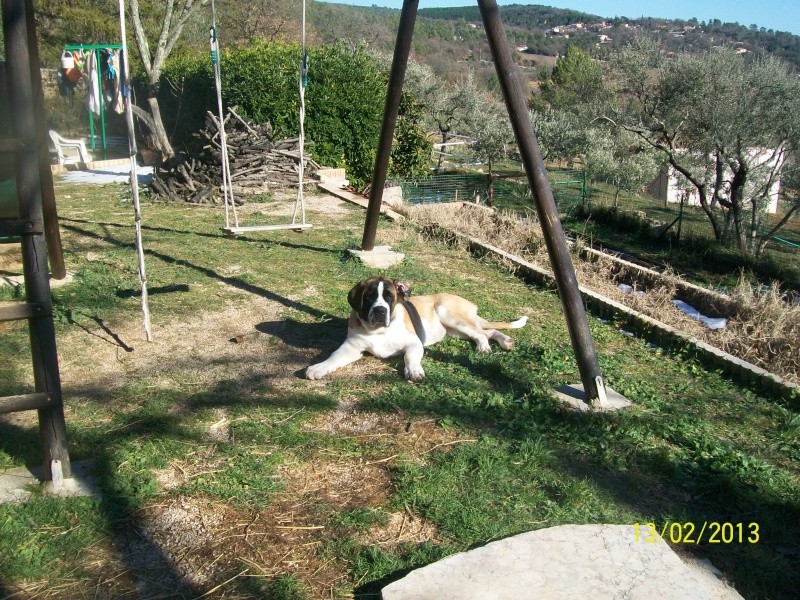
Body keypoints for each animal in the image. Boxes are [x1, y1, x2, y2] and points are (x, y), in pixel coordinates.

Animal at [304, 276, 528, 382]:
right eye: (368, 297)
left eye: (389, 297)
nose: (379, 310)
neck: (378, 332)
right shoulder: (352, 347)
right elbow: (334, 356)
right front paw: (318, 367)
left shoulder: (414, 343)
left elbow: (409, 356)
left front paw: (414, 370)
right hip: (455, 331)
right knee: (485, 331)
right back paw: (505, 341)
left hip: (447, 312)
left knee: (481, 333)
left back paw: (485, 347)